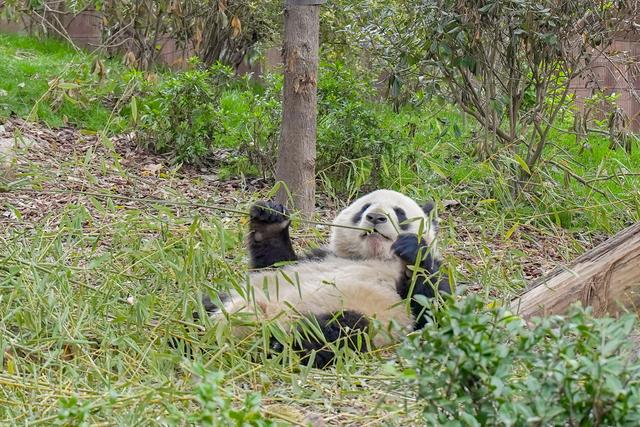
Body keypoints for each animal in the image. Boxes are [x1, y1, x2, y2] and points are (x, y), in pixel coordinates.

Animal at [206, 190, 450, 368]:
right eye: (364, 208)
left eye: (399, 213)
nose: (375, 217)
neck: (376, 257)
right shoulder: (322, 256)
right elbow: (274, 263)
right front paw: (270, 219)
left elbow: (434, 311)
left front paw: (413, 250)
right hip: (233, 296)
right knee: (205, 303)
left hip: (359, 316)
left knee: (334, 331)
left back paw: (278, 344)